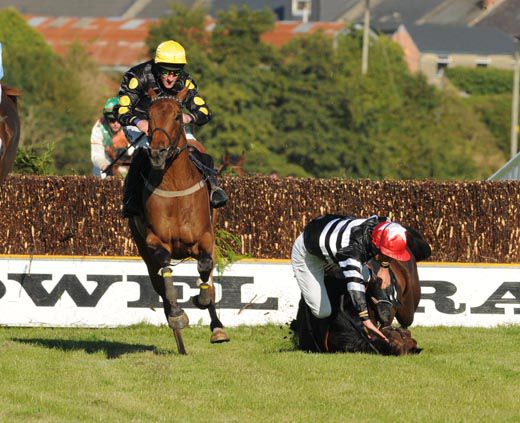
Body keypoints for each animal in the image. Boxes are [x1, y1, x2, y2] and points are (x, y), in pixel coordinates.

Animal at [128, 88, 229, 354]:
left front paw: (202, 300)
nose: (157, 153)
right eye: (149, 116)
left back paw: (217, 327)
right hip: (142, 249)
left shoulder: (206, 237)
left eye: (176, 116)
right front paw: (177, 314)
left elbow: (205, 268)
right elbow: (165, 270)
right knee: (159, 283)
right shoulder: (155, 240)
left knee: (208, 275)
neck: (174, 186)